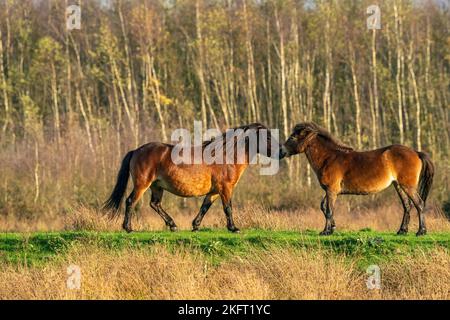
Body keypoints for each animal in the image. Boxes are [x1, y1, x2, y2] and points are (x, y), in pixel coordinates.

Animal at [103, 122, 278, 232]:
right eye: (267, 137)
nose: (281, 151)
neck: (226, 155)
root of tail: (136, 151)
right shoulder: (225, 188)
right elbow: (228, 208)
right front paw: (233, 228)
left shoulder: (214, 191)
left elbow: (205, 207)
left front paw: (195, 225)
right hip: (142, 184)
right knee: (130, 201)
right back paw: (128, 228)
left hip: (157, 186)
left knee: (155, 204)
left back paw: (172, 225)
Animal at [280, 122, 434, 235]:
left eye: (292, 137)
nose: (281, 152)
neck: (329, 158)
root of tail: (416, 152)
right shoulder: (332, 191)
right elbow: (324, 207)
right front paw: (333, 227)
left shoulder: (331, 190)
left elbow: (329, 209)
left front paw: (326, 231)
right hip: (399, 186)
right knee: (407, 206)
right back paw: (402, 231)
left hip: (408, 186)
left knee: (419, 203)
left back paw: (421, 231)